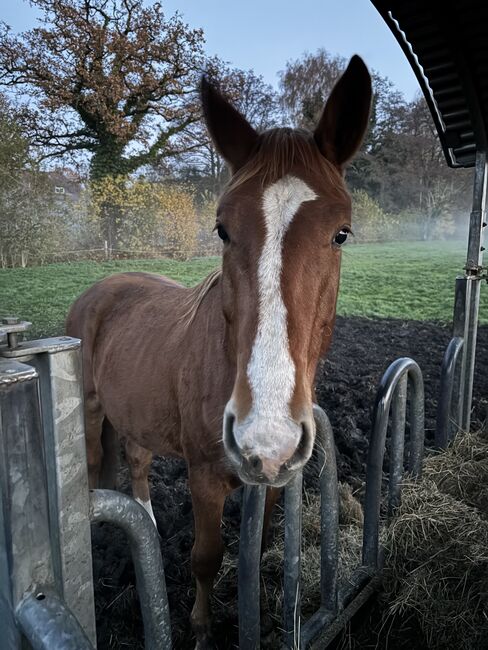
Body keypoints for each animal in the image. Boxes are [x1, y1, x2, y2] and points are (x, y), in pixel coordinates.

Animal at [66, 55, 372, 648]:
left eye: (342, 233)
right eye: (222, 229)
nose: (265, 434)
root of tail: (101, 286)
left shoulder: (273, 480)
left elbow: (258, 546)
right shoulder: (205, 477)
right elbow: (207, 557)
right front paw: (202, 627)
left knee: (138, 461)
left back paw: (147, 520)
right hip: (92, 413)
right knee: (97, 469)